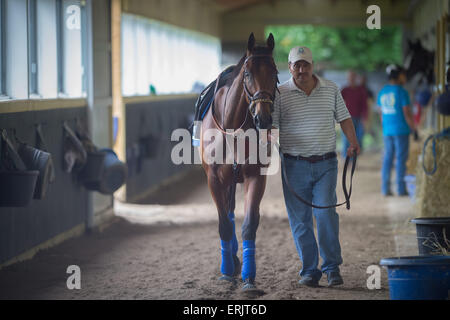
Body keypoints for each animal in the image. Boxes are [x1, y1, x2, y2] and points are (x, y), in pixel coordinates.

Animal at [200, 33, 278, 292]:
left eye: (275, 72)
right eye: (247, 74)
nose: (263, 118)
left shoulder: (255, 177)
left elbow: (249, 225)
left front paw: (249, 278)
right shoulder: (214, 179)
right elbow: (224, 224)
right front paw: (226, 273)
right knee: (228, 212)